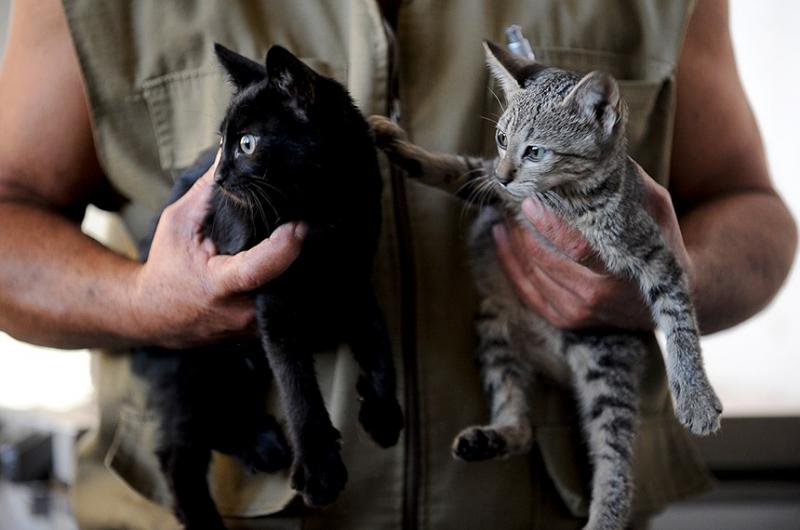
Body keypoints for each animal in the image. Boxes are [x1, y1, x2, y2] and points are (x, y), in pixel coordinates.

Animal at [134, 45, 406, 528]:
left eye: (247, 143)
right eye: (221, 142)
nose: (218, 178)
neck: (323, 215)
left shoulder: (355, 278)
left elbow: (377, 341)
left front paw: (382, 409)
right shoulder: (274, 305)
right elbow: (298, 388)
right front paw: (320, 469)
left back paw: (263, 445)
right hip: (187, 362)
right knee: (179, 453)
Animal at [372, 40, 720, 528]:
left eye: (535, 151)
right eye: (501, 139)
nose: (505, 174)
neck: (563, 199)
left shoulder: (655, 253)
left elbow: (679, 319)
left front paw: (696, 396)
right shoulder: (492, 183)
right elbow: (458, 168)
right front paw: (401, 146)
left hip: (604, 356)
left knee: (615, 456)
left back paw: (604, 515)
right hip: (494, 328)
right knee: (521, 424)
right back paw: (494, 437)